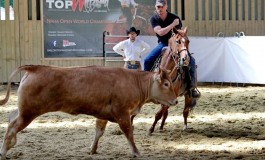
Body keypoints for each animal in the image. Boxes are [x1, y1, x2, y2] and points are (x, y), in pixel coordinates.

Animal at [0, 64, 177, 159]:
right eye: (166, 84)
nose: (175, 101)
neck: (135, 81)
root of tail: (35, 67)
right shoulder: (122, 113)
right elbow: (129, 133)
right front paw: (136, 152)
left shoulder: (103, 114)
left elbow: (99, 131)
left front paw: (93, 149)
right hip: (28, 113)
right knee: (11, 128)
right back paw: (4, 152)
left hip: (23, 110)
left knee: (11, 118)